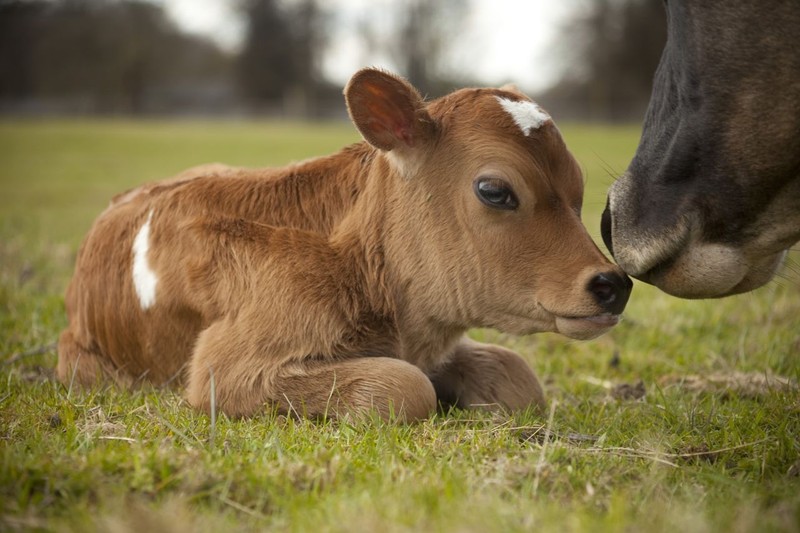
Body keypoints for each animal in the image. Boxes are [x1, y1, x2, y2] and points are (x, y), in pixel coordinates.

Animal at [54, 69, 632, 420]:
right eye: (494, 190)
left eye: (580, 189)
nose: (613, 283)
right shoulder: (226, 369)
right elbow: (405, 387)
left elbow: (517, 376)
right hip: (84, 363)